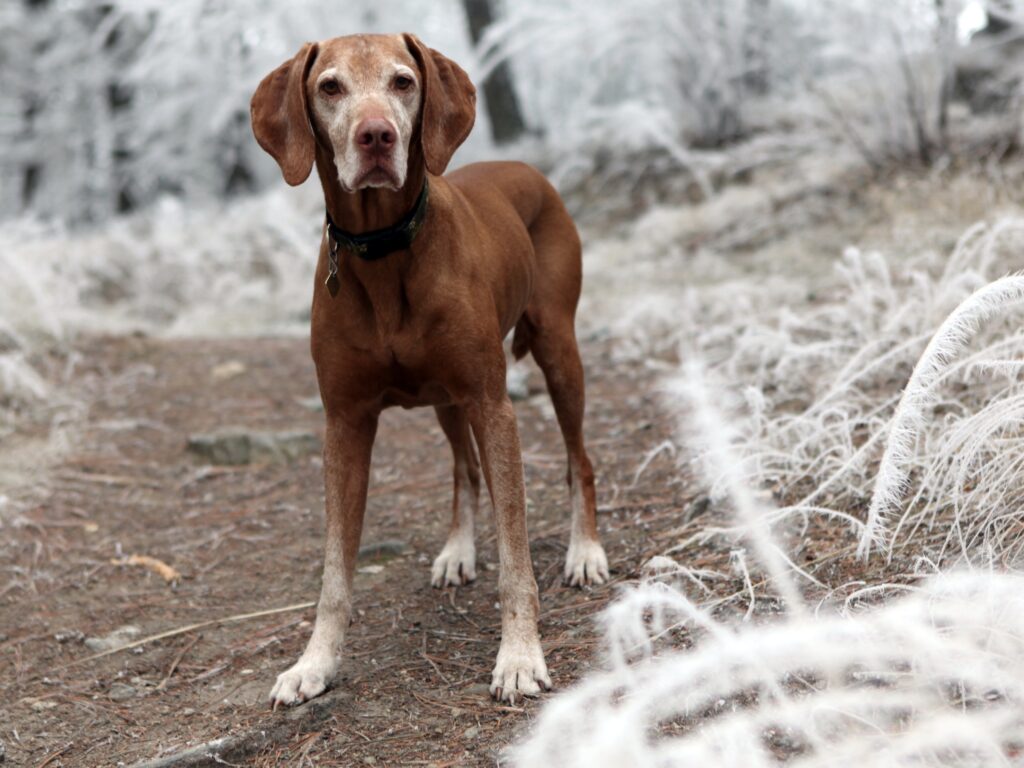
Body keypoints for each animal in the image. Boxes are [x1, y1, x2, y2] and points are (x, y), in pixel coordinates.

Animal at [251, 36, 606, 708]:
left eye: (404, 82)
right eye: (330, 87)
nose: (376, 136)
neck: (383, 249)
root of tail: (527, 167)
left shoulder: (493, 405)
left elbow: (516, 558)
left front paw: (519, 657)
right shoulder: (345, 424)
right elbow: (335, 572)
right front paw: (314, 662)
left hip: (557, 351)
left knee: (580, 460)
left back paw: (586, 551)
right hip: (446, 399)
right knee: (464, 470)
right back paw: (458, 550)